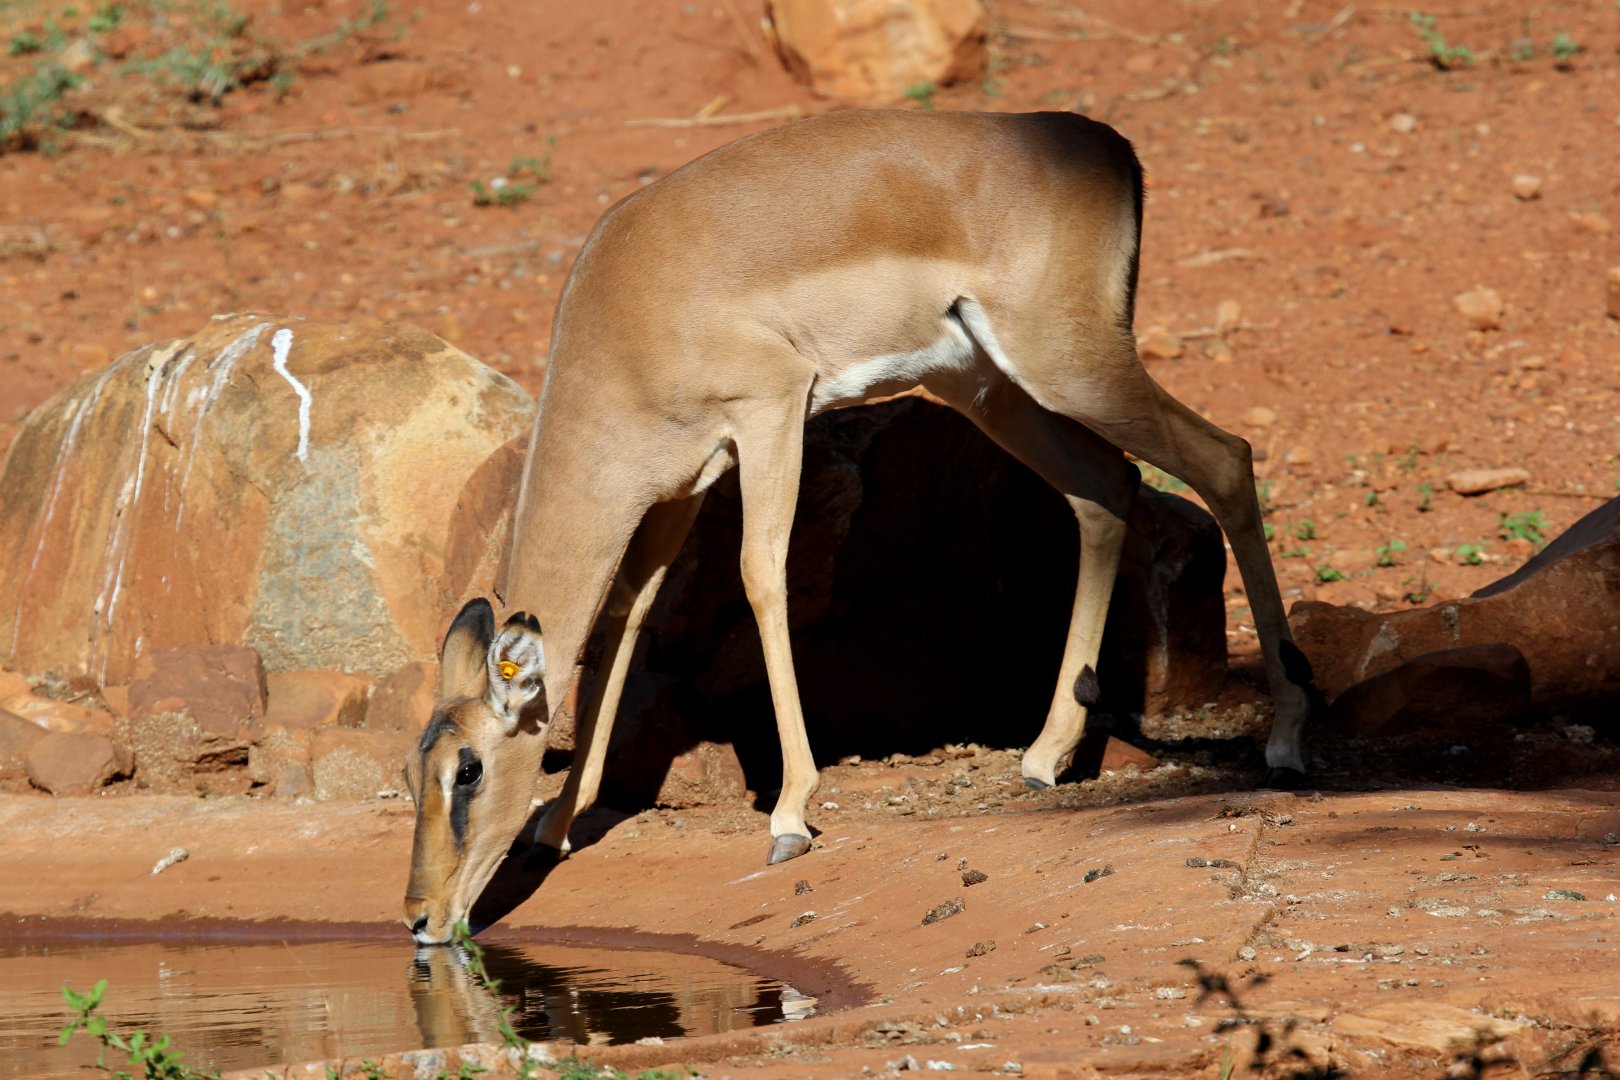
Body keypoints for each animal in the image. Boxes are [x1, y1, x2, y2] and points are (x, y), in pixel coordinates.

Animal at [402, 109, 1318, 945]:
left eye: (468, 771)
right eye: (415, 771)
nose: (420, 918)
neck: (628, 307)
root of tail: (1106, 144)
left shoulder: (770, 411)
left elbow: (760, 577)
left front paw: (788, 816)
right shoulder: (678, 488)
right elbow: (624, 614)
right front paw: (558, 822)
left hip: (1068, 363)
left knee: (1225, 459)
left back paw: (1286, 741)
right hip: (988, 387)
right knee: (1106, 491)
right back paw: (1044, 756)